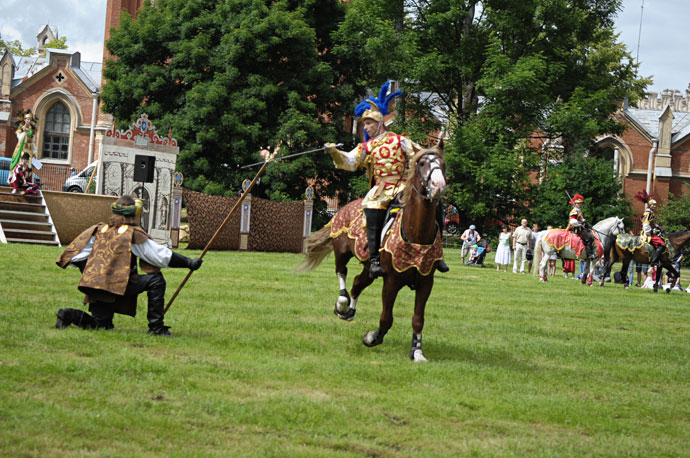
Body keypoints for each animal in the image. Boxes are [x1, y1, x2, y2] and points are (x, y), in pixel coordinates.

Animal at [300, 147, 446, 362]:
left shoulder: (426, 283)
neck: (416, 234)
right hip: (342, 252)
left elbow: (418, 319)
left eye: (443, 164)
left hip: (370, 268)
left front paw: (417, 352)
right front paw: (372, 338)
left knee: (357, 283)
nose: (438, 186)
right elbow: (386, 318)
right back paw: (342, 304)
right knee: (341, 272)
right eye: (421, 164)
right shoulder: (391, 281)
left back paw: (349, 311)